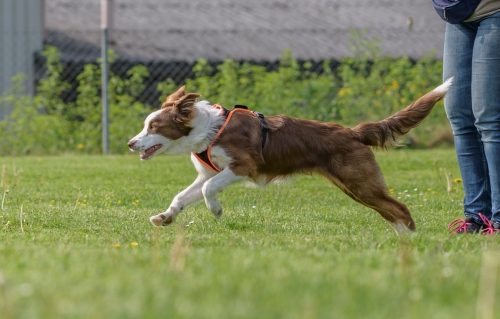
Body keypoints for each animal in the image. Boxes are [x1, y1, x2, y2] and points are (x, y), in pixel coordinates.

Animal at [128, 79, 454, 234]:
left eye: (153, 127)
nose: (131, 143)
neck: (209, 130)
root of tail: (352, 132)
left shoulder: (244, 165)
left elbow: (209, 189)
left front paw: (217, 210)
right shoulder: (210, 172)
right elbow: (183, 196)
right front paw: (165, 217)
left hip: (360, 182)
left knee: (400, 208)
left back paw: (413, 244)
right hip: (356, 186)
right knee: (390, 210)